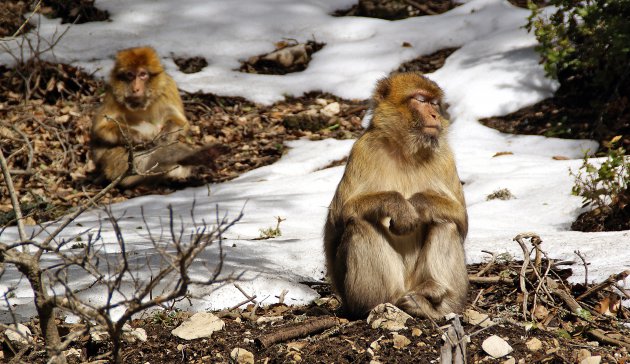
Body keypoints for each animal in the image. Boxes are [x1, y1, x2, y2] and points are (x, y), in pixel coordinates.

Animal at [91, 46, 222, 188]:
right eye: (130, 75)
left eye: (142, 75)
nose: (135, 88)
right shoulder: (113, 94)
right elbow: (100, 129)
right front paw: (138, 137)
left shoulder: (168, 88)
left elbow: (180, 121)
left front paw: (165, 134)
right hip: (114, 167)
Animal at [326, 71, 470, 318]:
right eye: (420, 100)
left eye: (434, 103)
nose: (435, 114)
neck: (405, 150)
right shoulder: (362, 150)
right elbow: (340, 214)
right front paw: (399, 205)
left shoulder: (444, 155)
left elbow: (461, 218)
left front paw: (418, 203)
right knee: (360, 224)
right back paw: (379, 303)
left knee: (445, 223)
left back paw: (431, 300)